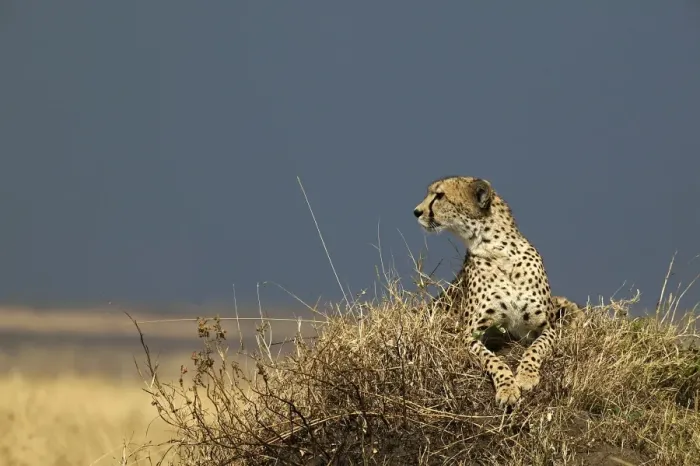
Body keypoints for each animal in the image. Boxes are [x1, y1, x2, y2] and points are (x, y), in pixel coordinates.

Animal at [413, 175, 582, 408]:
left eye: (439, 195)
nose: (416, 211)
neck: (498, 250)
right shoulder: (471, 334)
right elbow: (494, 360)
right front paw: (507, 389)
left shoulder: (547, 328)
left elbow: (535, 349)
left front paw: (526, 376)